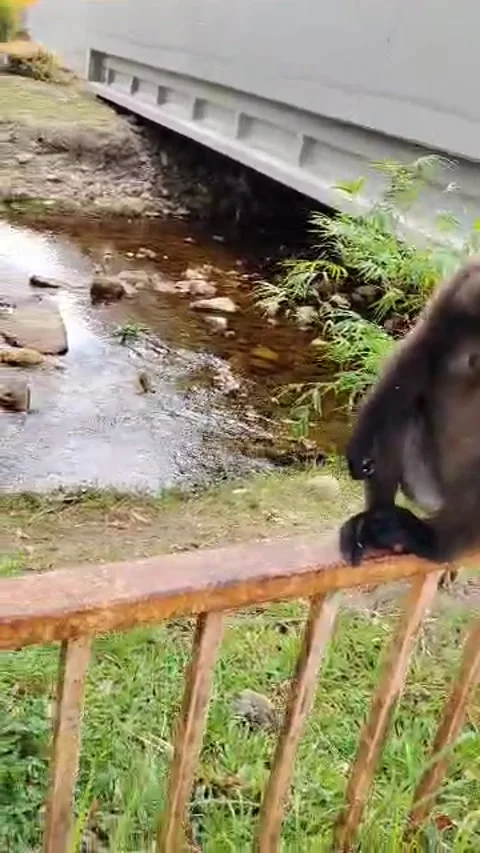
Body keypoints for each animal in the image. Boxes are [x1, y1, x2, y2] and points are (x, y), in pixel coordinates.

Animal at [339, 257, 480, 577]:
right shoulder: (465, 282)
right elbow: (421, 352)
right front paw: (360, 444)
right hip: (424, 483)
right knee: (399, 411)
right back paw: (373, 522)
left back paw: (438, 544)